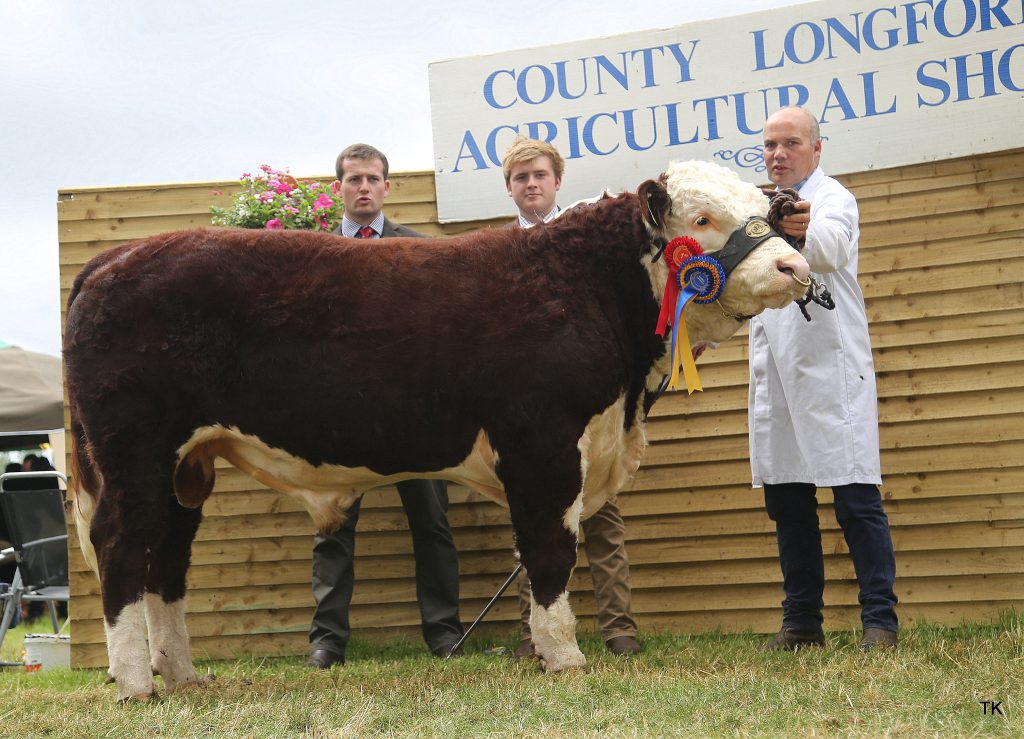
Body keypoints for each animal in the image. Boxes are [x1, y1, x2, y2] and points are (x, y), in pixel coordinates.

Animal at [64, 160, 811, 701]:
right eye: (703, 218)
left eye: (764, 210)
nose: (795, 267)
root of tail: (115, 258)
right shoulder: (543, 443)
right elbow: (549, 552)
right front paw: (564, 657)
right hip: (136, 451)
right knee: (122, 546)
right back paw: (135, 683)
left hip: (185, 465)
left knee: (167, 559)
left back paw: (182, 674)